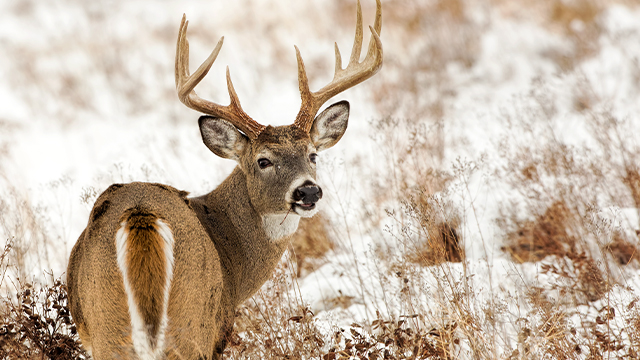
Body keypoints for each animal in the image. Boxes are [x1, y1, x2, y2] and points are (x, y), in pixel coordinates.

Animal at [67, 1, 382, 358]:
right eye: (263, 161)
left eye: (313, 155)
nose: (308, 191)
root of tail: (140, 218)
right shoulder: (220, 326)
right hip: (193, 320)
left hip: (108, 324)